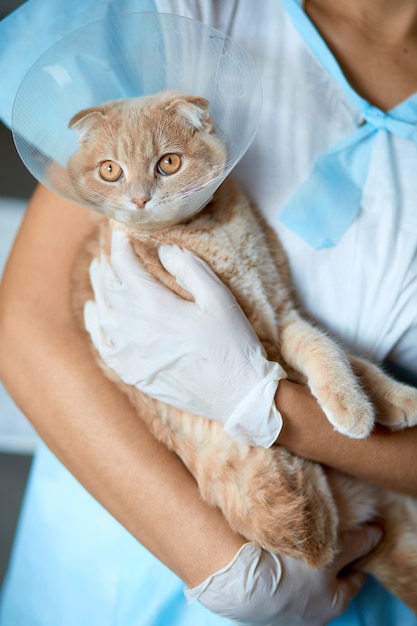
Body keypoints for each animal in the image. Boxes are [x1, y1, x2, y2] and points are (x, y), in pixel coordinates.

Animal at [62, 90, 416, 612]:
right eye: (111, 171)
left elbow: (334, 353)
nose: (140, 199)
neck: (210, 231)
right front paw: (361, 412)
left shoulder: (282, 310)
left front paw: (389, 399)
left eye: (168, 163)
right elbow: (324, 358)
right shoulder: (263, 340)